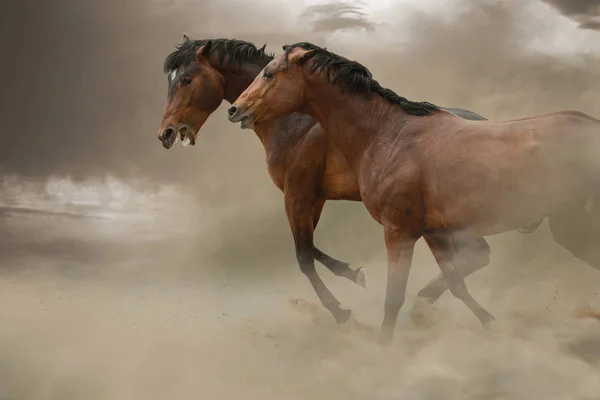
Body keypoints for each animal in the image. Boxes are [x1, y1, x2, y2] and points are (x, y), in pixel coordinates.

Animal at [157, 36, 536, 328]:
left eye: (186, 79)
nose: (166, 133)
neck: (296, 121)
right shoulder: (315, 199)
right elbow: (310, 248)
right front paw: (354, 274)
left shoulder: (297, 195)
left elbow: (303, 255)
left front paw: (342, 312)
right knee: (476, 257)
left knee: (477, 255)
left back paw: (426, 303)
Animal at [230, 41, 600, 344]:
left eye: (269, 73)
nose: (236, 109)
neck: (387, 135)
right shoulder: (434, 232)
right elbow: (455, 282)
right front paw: (488, 322)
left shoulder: (398, 231)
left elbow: (394, 295)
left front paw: (382, 346)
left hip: (573, 230)